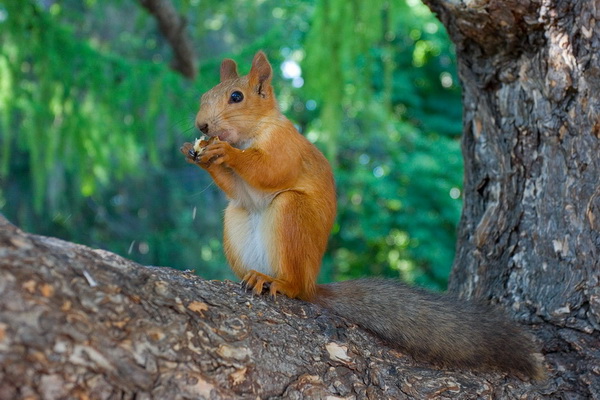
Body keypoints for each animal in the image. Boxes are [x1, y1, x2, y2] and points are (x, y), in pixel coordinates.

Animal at [180, 51, 548, 380]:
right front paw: (194, 152)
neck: (251, 133)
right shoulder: (242, 192)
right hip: (237, 218)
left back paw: (278, 282)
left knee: (294, 285)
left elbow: (269, 170)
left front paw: (224, 152)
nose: (201, 125)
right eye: (203, 96)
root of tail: (312, 282)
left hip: (291, 213)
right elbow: (239, 190)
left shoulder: (285, 148)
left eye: (236, 97)